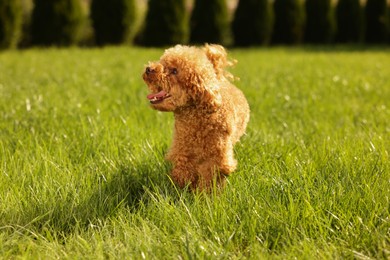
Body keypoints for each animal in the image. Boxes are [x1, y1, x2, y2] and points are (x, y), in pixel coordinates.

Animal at [143, 44, 250, 191]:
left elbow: (210, 176)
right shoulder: (183, 149)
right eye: (162, 62)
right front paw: (185, 189)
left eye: (175, 71)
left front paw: (205, 193)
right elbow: (184, 171)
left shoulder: (217, 156)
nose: (148, 69)